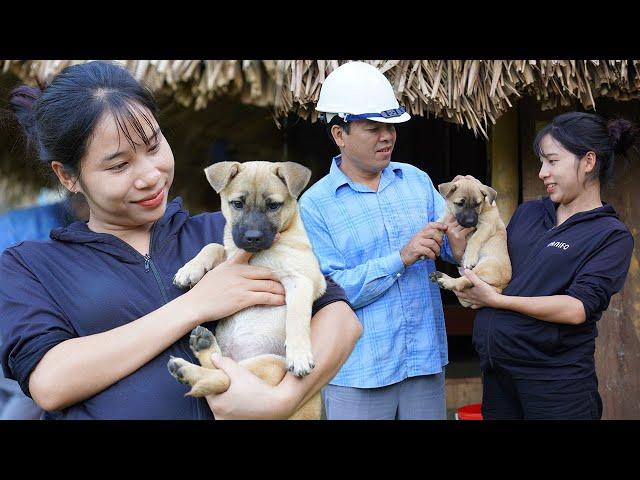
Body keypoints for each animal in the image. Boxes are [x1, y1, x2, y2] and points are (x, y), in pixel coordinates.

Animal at [166, 161, 324, 420]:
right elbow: (213, 245)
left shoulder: (303, 280)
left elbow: (297, 317)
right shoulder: (229, 257)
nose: (252, 238)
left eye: (273, 205)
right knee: (222, 370)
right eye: (237, 204)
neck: (258, 256)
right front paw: (189, 270)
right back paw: (202, 346)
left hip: (269, 364)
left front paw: (299, 355)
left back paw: (188, 367)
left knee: (226, 377)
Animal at [428, 177, 512, 308]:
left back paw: (446, 281)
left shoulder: (487, 225)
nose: (470, 222)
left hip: (487, 264)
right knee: (463, 290)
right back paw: (441, 277)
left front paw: (469, 258)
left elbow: (474, 239)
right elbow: (438, 223)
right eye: (460, 203)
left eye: (477, 204)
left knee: (463, 282)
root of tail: (499, 288)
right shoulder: (447, 216)